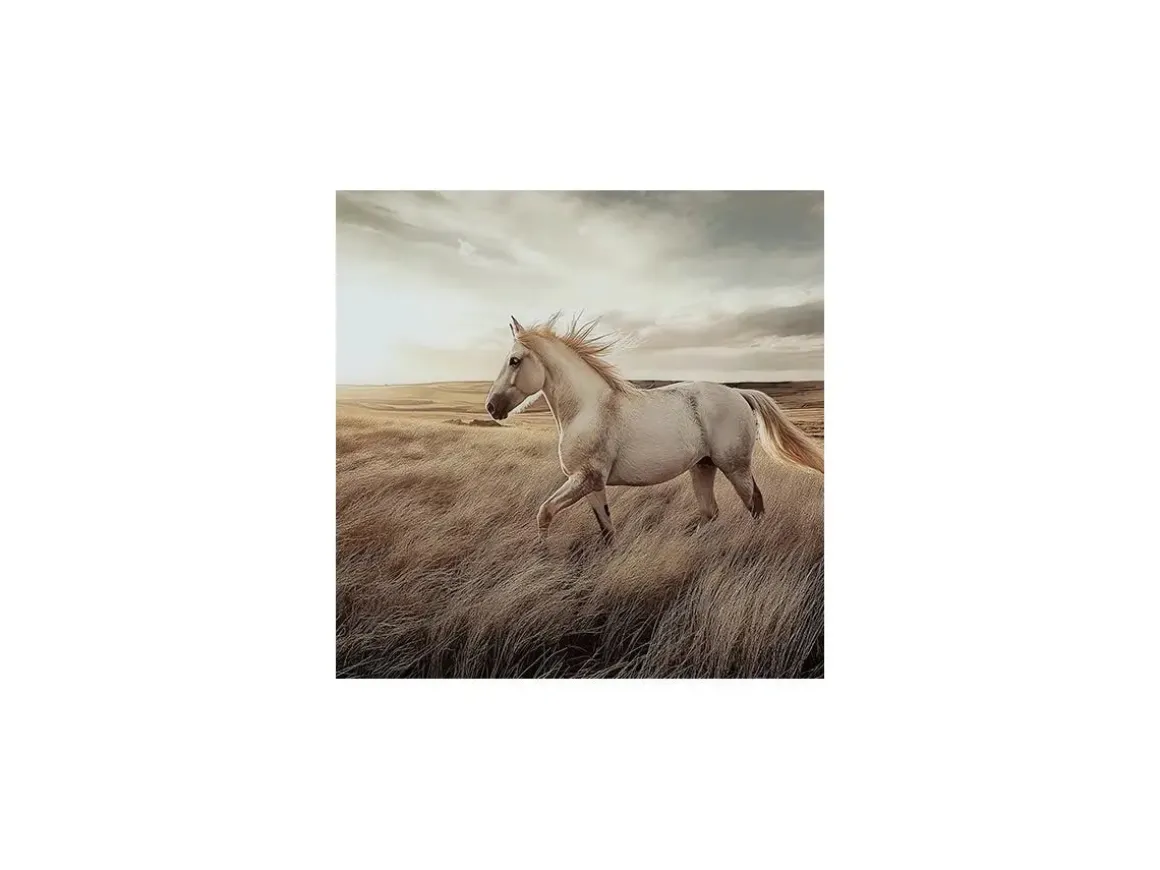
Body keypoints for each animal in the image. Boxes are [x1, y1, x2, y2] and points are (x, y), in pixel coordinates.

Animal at [485, 314, 824, 542]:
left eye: (514, 361)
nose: (491, 407)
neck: (587, 409)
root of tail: (739, 394)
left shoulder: (585, 478)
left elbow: (544, 513)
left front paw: (542, 554)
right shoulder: (591, 484)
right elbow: (607, 530)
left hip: (735, 466)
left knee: (755, 505)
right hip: (703, 466)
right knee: (710, 512)